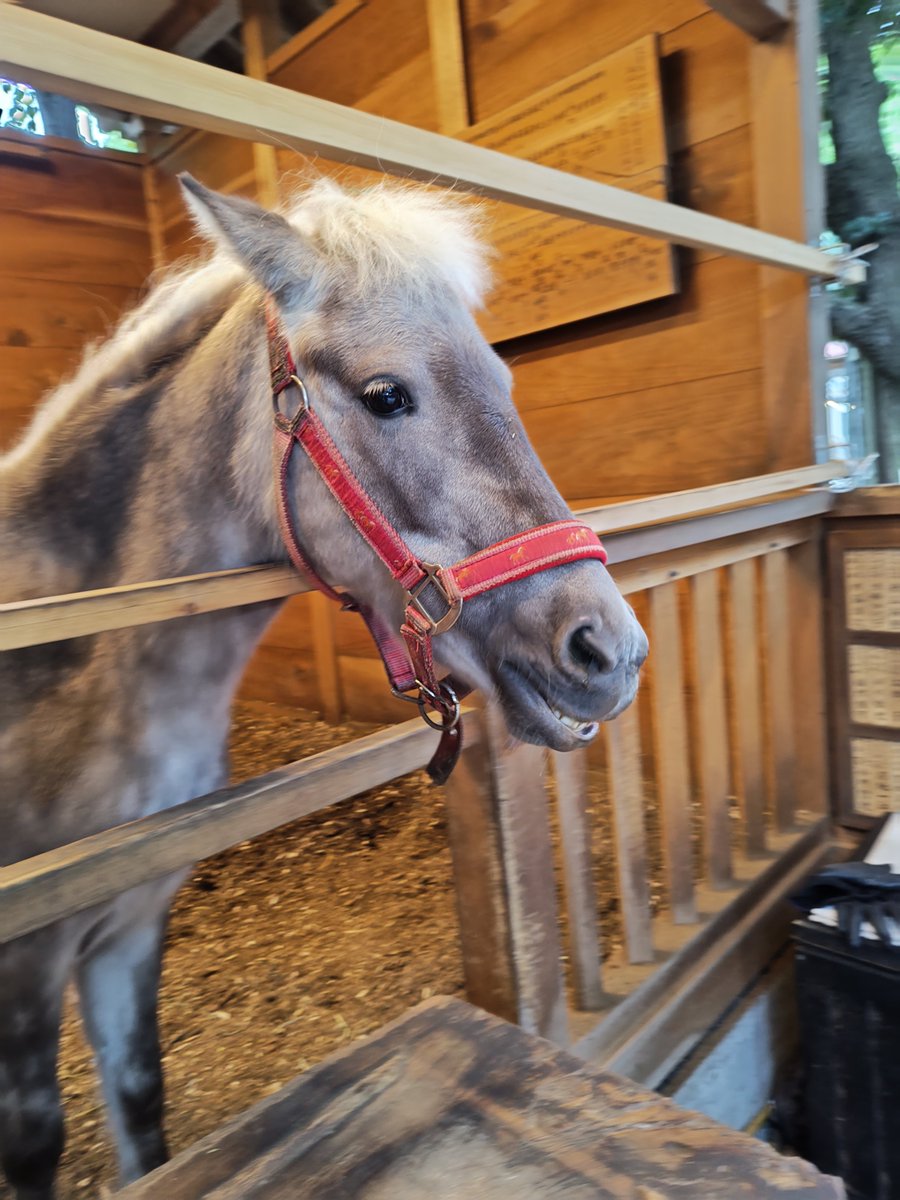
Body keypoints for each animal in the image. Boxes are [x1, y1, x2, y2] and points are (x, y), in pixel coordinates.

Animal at [0, 174, 648, 1199]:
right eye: (387, 395)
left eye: (503, 384)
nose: (607, 652)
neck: (64, 666)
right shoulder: (24, 971)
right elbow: (34, 1143)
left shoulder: (128, 929)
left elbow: (141, 1102)